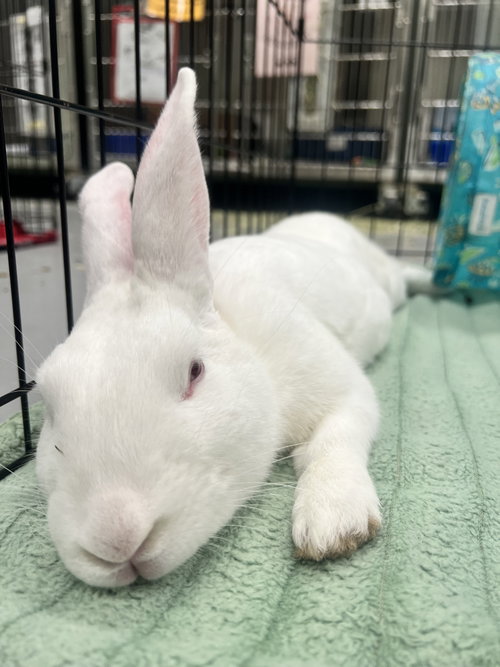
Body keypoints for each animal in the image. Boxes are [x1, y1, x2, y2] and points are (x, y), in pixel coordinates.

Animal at [35, 68, 429, 588]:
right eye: (47, 405)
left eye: (195, 372)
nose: (116, 537)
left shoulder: (341, 387)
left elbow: (334, 441)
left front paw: (333, 524)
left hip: (386, 281)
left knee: (403, 275)